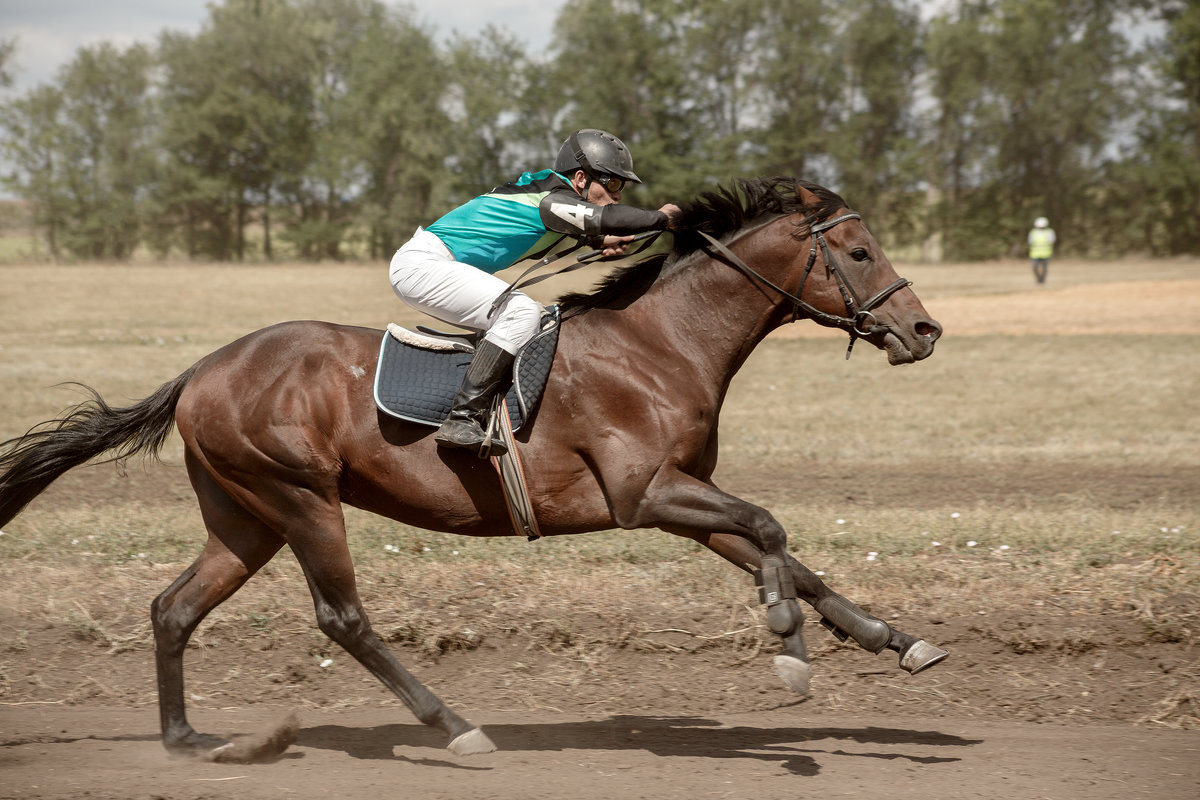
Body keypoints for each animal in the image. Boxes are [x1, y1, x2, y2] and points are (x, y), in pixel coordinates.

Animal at [0, 176, 945, 762]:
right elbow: (770, 530)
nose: (925, 331)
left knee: (173, 609)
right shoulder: (647, 494)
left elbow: (781, 554)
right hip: (299, 497)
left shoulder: (680, 496)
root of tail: (199, 370)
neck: (661, 342)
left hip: (245, 516)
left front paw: (892, 640)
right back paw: (452, 724)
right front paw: (789, 647)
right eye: (860, 253)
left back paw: (188, 738)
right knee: (342, 617)